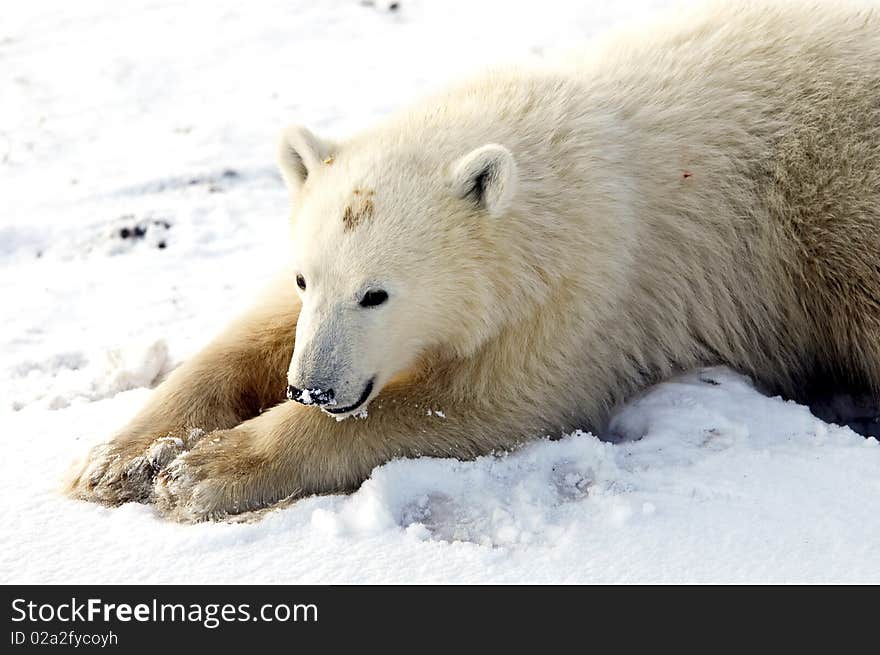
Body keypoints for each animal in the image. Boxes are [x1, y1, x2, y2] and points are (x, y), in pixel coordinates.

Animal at [67, 1, 880, 524]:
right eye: (307, 276)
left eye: (377, 294)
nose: (312, 389)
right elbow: (253, 335)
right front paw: (117, 461)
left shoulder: (583, 289)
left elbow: (472, 405)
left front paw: (204, 471)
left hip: (838, 205)